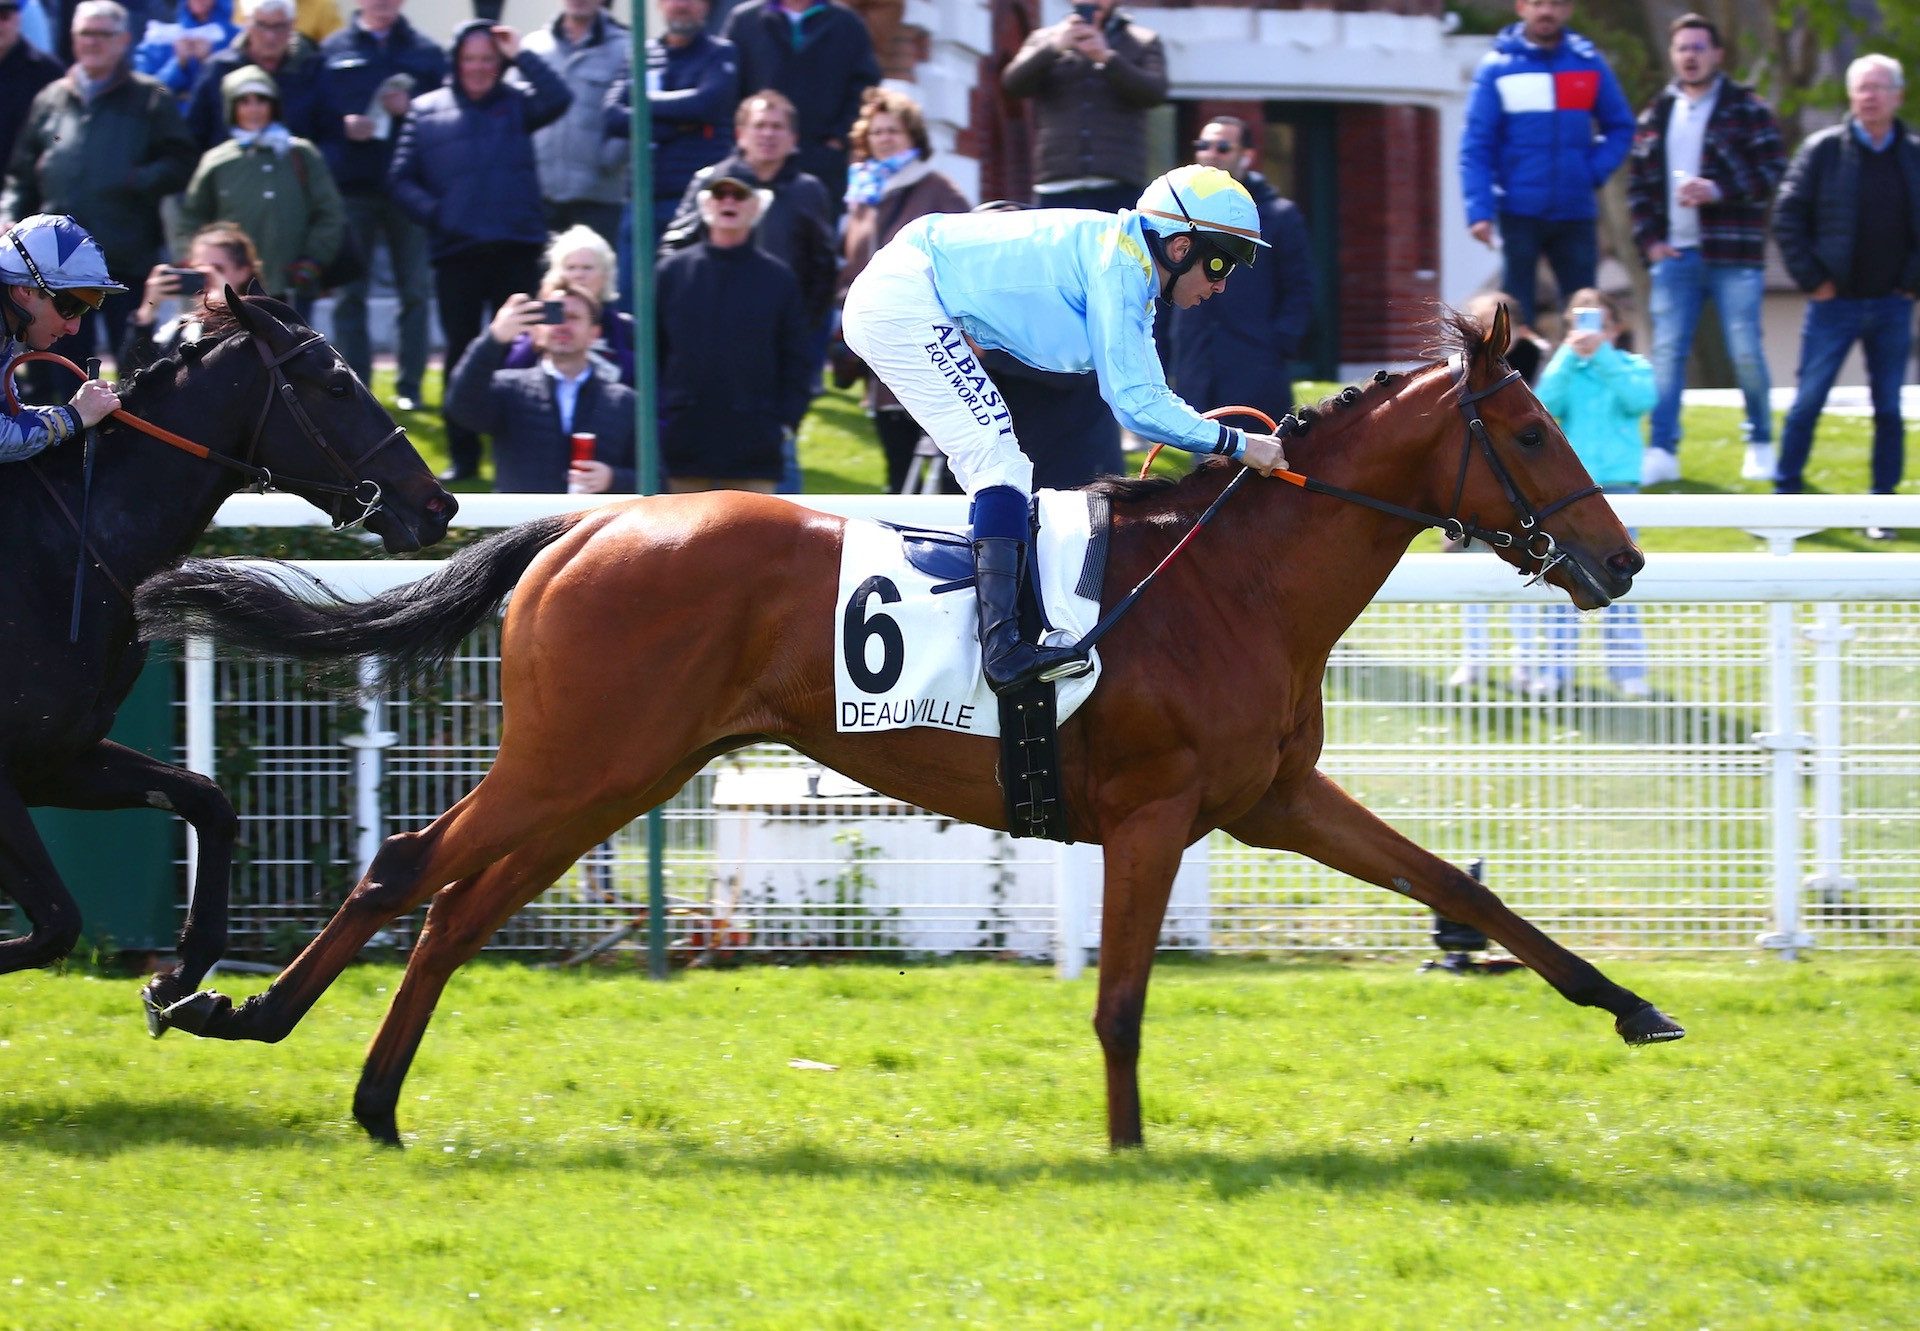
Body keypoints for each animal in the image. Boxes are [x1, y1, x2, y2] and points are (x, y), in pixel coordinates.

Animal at [0, 290, 453, 1014]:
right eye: (336, 382)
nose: (440, 503)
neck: (59, 548)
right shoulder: (7, 775)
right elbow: (56, 923)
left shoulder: (56, 758)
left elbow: (209, 801)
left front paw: (178, 979)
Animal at [139, 305, 1681, 1144]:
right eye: (1531, 432)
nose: (1620, 562)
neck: (1230, 579)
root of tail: (583, 524)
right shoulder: (1155, 813)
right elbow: (1122, 999)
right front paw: (1131, 1150)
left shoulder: (1273, 799)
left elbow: (1458, 886)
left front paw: (1631, 1003)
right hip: (580, 757)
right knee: (413, 864)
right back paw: (237, 1010)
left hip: (617, 771)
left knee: (462, 907)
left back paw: (370, 1094)